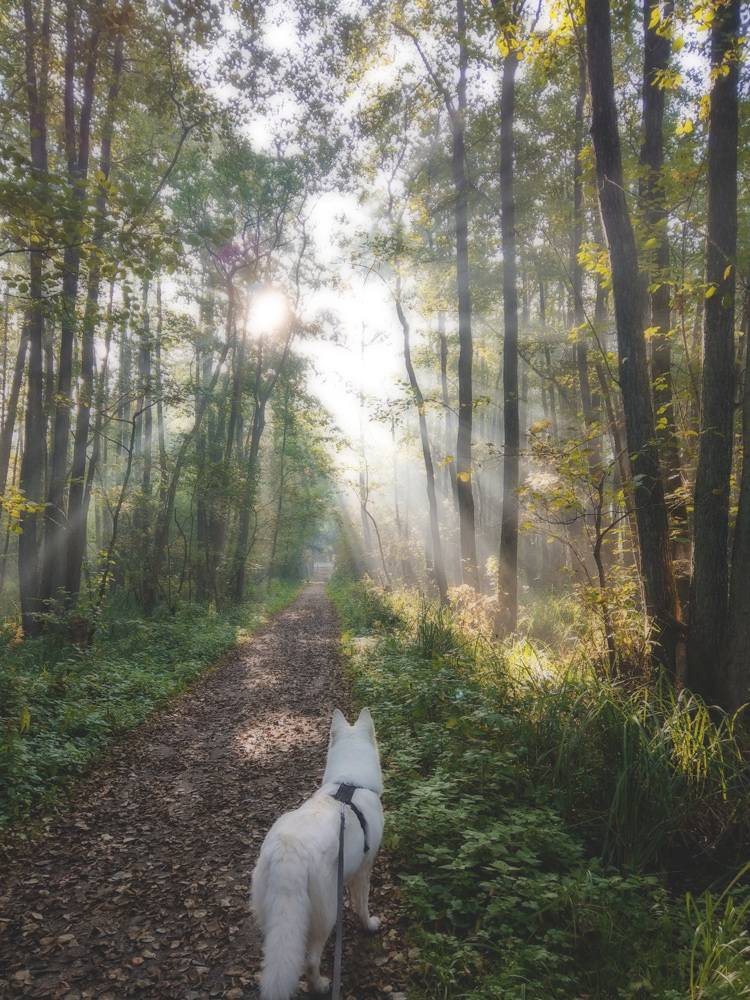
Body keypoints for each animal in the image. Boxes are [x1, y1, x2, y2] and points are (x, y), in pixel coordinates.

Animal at [253, 708, 384, 1000]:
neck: (349, 782)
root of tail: (289, 853)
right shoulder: (364, 868)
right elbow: (362, 904)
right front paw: (369, 925)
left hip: (272, 915)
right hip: (326, 914)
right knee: (310, 960)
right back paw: (322, 986)